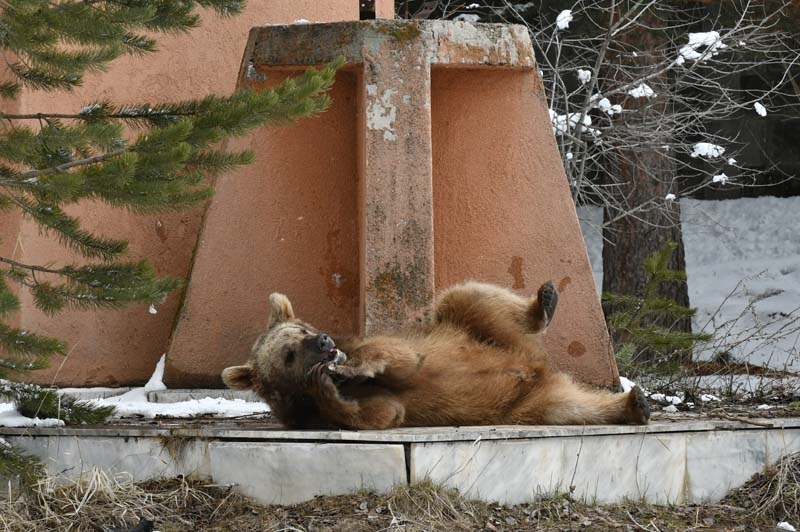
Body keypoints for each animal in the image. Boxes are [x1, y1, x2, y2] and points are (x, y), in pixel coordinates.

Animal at [220, 280, 648, 430]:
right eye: (289, 353)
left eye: (304, 329)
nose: (324, 342)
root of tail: (538, 366)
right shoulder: (309, 415)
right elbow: (380, 413)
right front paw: (331, 386)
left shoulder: (383, 344)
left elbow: (400, 358)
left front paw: (350, 368)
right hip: (527, 403)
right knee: (570, 408)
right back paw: (633, 405)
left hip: (478, 334)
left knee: (469, 298)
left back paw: (543, 302)